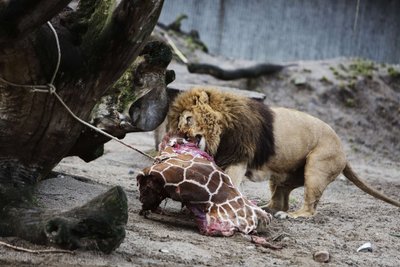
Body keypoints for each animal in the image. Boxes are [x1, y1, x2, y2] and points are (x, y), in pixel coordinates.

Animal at [167, 87, 400, 219]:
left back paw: (293, 216)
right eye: (179, 125)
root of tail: (344, 150)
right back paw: (266, 209)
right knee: (280, 201)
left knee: (309, 207)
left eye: (188, 119)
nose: (183, 136)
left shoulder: (238, 158)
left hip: (316, 168)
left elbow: (230, 183)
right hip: (283, 176)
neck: (221, 130)